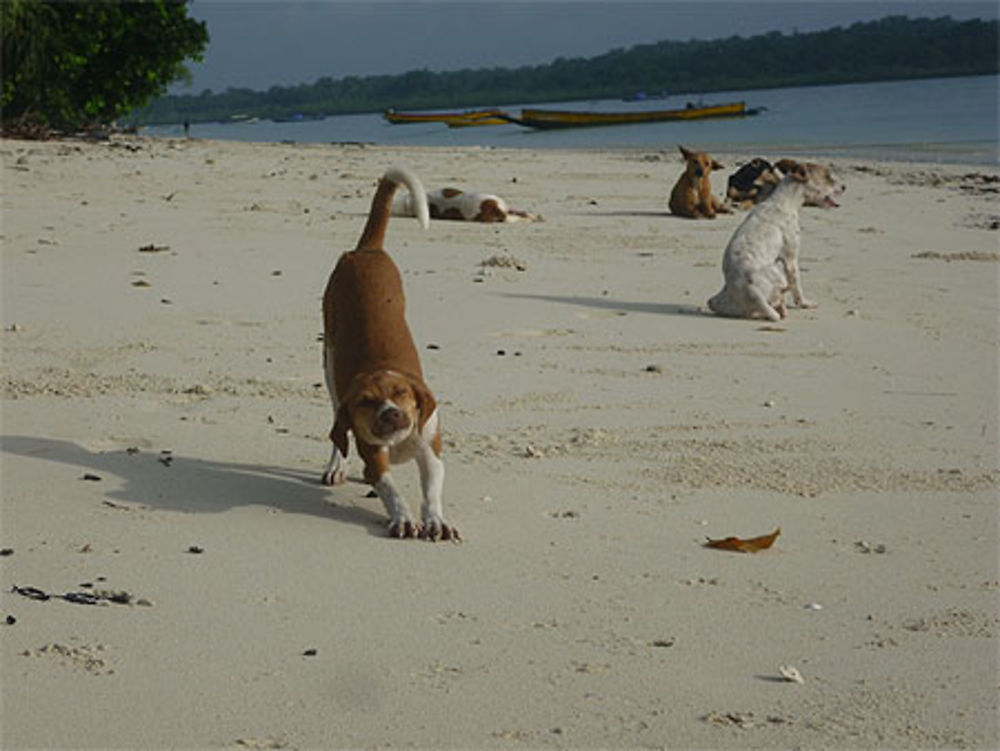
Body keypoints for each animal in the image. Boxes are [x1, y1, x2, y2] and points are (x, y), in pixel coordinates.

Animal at [322, 166, 458, 540]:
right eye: (366, 402)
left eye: (401, 393)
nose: (391, 415)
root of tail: (366, 250)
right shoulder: (374, 458)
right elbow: (389, 488)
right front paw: (404, 517)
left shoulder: (431, 451)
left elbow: (431, 490)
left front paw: (436, 520)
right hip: (329, 362)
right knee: (336, 428)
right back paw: (336, 465)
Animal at [708, 162, 840, 320]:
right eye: (827, 176)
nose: (845, 187)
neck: (783, 201)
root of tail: (750, 291)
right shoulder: (790, 259)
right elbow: (796, 284)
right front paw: (804, 303)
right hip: (778, 272)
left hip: (716, 301)